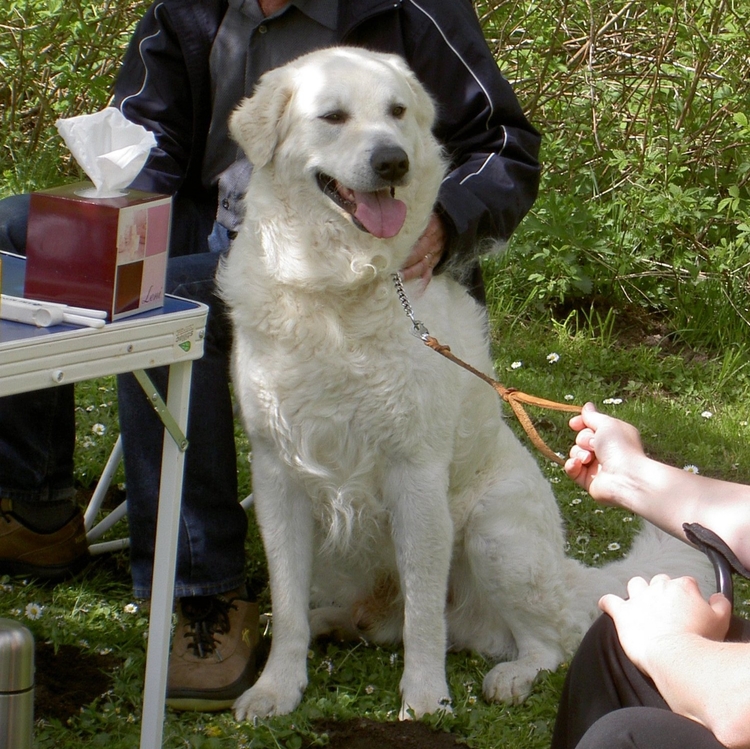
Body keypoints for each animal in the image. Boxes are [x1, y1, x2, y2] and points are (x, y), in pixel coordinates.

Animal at [219, 45, 716, 720]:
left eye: (397, 112)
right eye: (333, 116)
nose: (393, 161)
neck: (339, 288)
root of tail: (568, 570)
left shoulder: (418, 476)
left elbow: (426, 615)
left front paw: (426, 700)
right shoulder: (277, 475)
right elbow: (288, 599)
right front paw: (277, 686)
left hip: (493, 535)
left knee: (548, 639)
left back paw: (513, 676)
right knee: (371, 619)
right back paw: (335, 622)